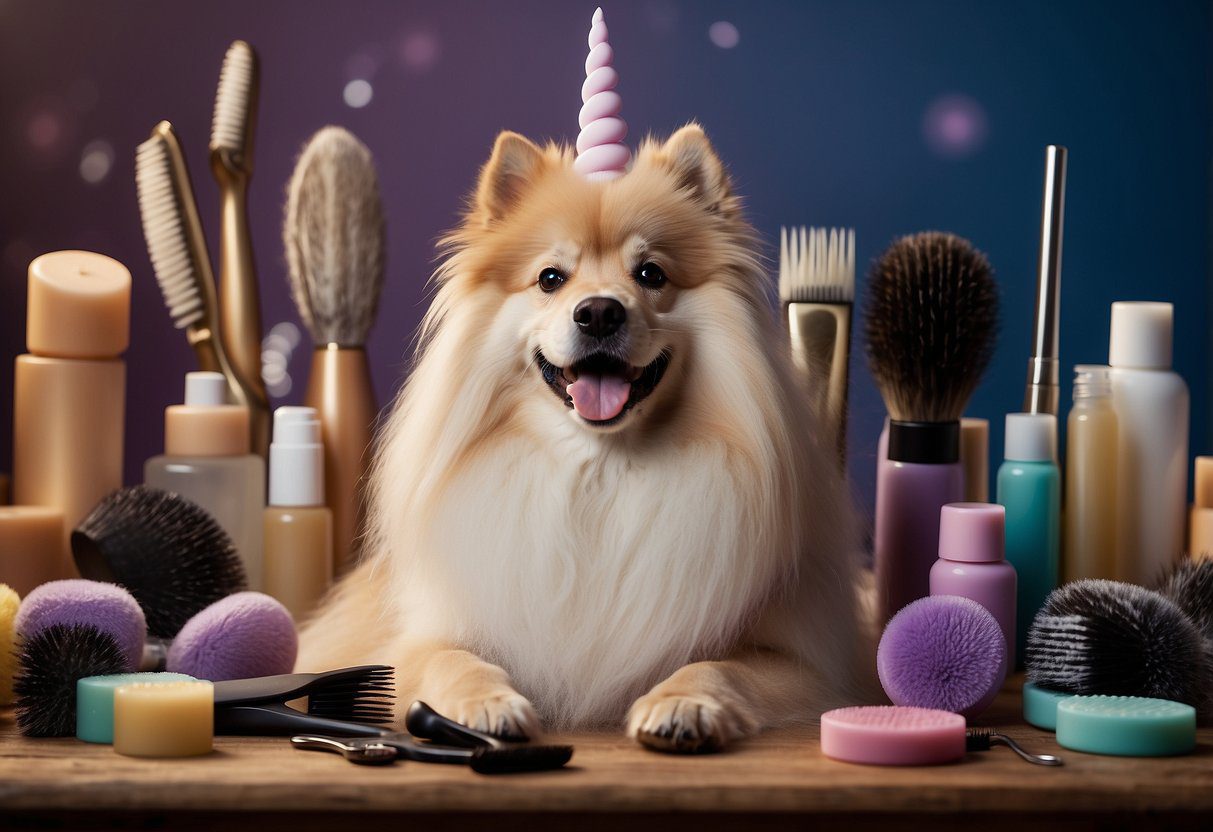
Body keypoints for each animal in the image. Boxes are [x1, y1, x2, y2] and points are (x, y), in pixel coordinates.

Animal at [300, 125, 873, 756]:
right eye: (551, 278)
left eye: (651, 274)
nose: (599, 311)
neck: (600, 472)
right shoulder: (414, 643)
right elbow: (450, 660)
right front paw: (484, 704)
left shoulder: (808, 666)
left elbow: (718, 668)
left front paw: (682, 705)